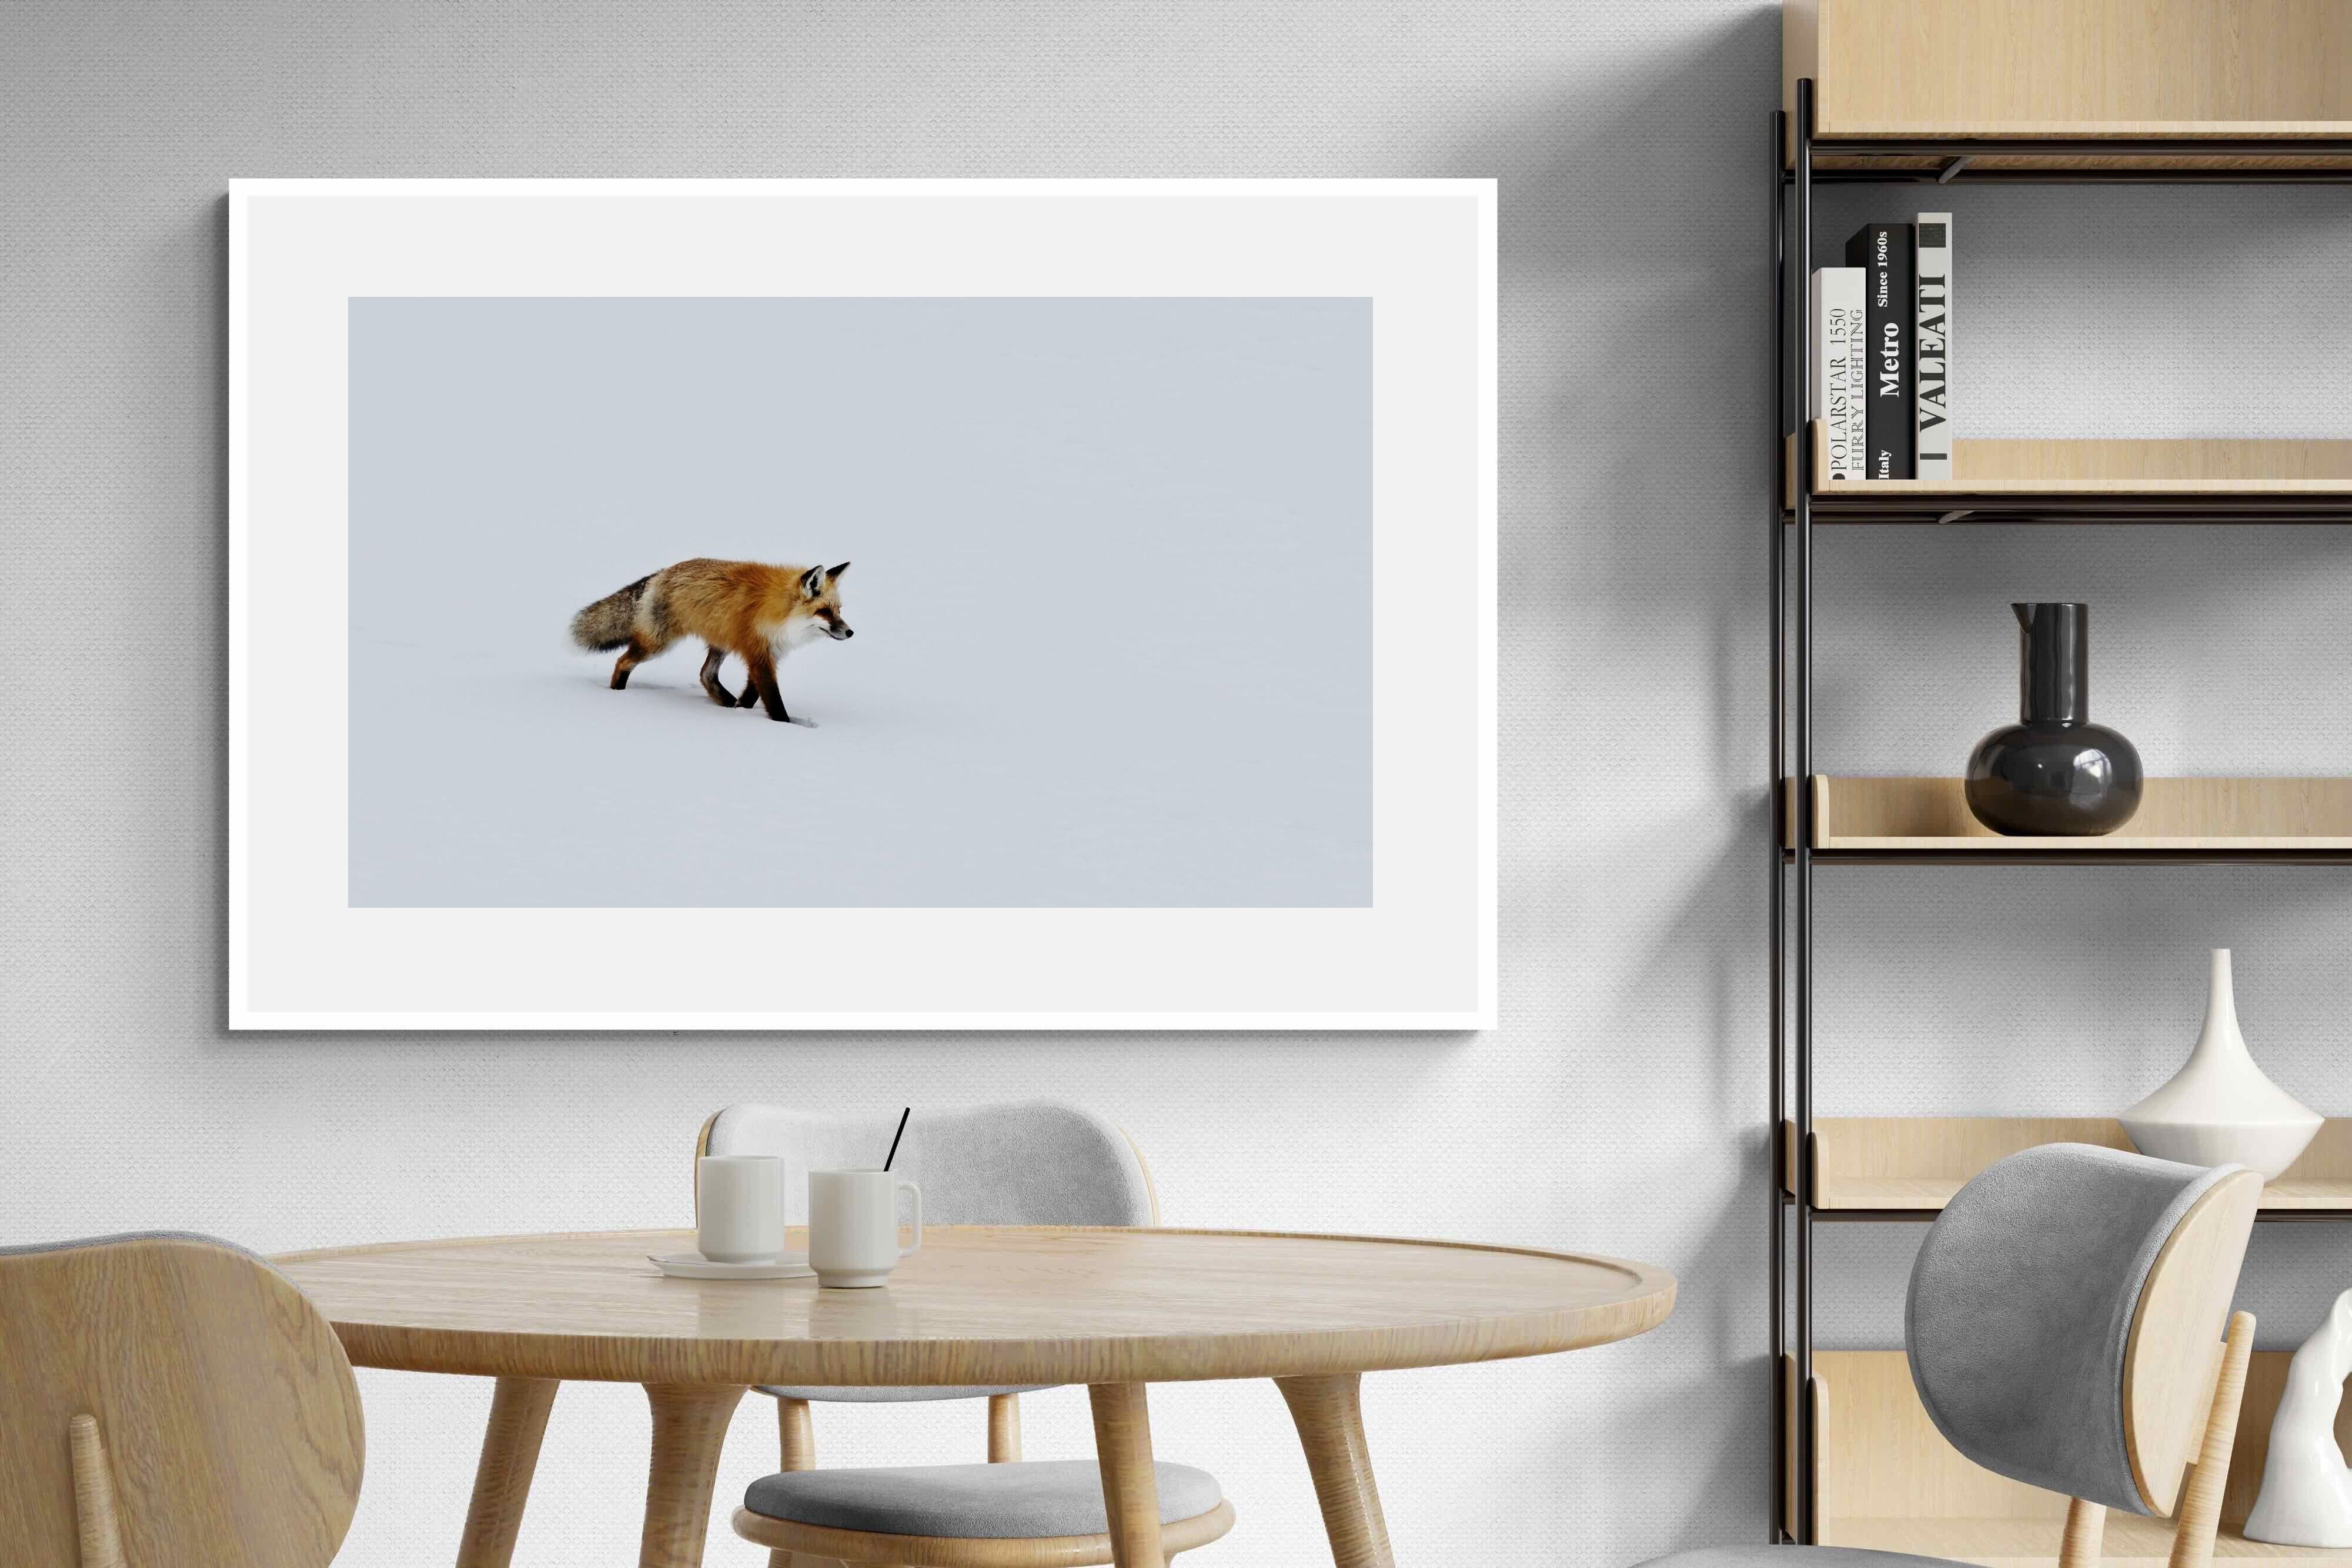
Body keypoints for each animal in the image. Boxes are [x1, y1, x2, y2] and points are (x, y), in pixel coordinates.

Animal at [569, 558, 853, 726]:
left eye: (839, 610)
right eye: (825, 612)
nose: (850, 633)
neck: (779, 615)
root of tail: (661, 573)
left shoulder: (766, 654)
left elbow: (752, 694)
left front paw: (741, 710)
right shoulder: (758, 654)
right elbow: (773, 699)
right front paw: (784, 725)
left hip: (721, 642)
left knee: (706, 675)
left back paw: (726, 703)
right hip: (657, 644)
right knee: (622, 661)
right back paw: (617, 694)